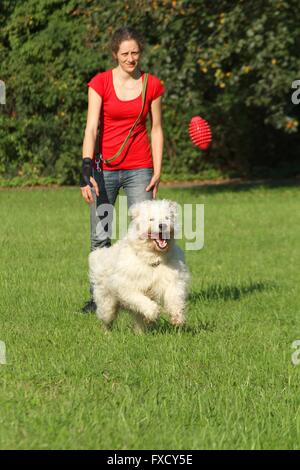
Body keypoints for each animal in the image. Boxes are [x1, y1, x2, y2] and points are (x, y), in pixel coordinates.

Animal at [88, 200, 190, 332]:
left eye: (167, 218)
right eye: (151, 219)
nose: (162, 225)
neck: (153, 258)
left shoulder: (173, 279)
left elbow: (174, 296)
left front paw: (177, 317)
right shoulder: (126, 286)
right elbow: (139, 299)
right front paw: (153, 312)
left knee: (138, 320)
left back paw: (140, 331)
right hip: (107, 303)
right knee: (106, 319)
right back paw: (107, 333)